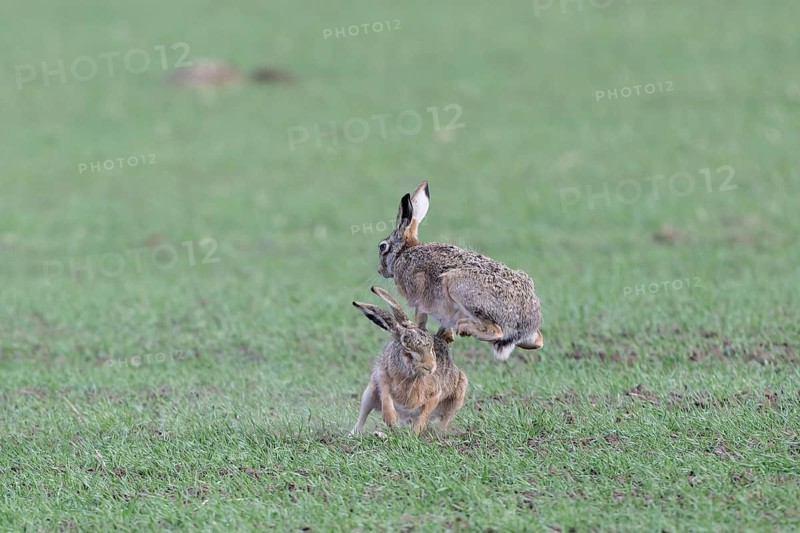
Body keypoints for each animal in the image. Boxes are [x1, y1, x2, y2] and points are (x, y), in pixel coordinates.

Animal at [351, 286, 468, 435]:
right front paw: (390, 419)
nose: (430, 367)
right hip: (369, 393)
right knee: (363, 414)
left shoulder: (436, 392)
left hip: (458, 396)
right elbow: (385, 395)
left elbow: (425, 412)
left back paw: (438, 434)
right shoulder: (382, 375)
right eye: (407, 350)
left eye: (431, 347)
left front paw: (415, 433)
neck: (410, 375)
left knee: (445, 419)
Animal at [376, 181, 544, 361]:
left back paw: (464, 327)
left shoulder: (419, 295)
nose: (380, 271)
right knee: (538, 341)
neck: (403, 252)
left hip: (457, 287)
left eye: (382, 247)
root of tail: (524, 322)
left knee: (497, 331)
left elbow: (420, 318)